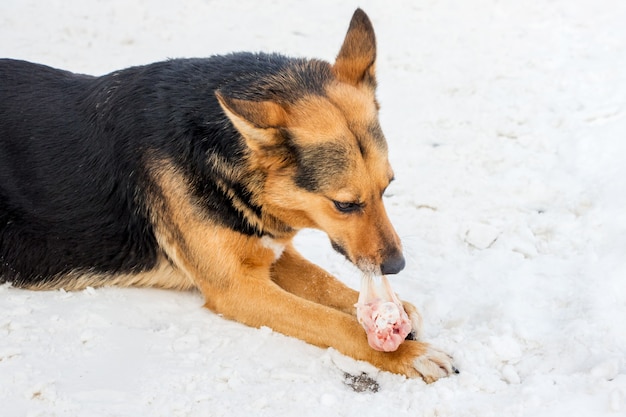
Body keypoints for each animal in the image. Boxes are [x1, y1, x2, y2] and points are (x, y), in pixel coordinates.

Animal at [1, 8, 454, 380]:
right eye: (344, 204)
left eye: (388, 187)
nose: (397, 265)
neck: (219, 153)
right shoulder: (239, 288)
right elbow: (330, 321)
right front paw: (410, 355)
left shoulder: (267, 250)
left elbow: (325, 284)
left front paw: (401, 311)